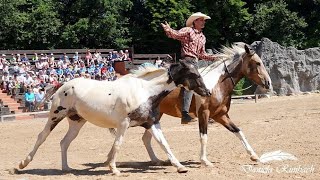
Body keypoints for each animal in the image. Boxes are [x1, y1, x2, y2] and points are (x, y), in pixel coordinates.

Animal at [18, 60, 211, 174]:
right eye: (194, 74)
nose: (207, 92)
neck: (145, 92)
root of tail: (62, 85)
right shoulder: (123, 124)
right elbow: (118, 144)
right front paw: (113, 168)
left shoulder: (151, 123)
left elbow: (164, 144)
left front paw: (180, 166)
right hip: (55, 115)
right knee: (42, 137)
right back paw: (22, 164)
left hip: (77, 122)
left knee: (64, 142)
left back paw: (66, 168)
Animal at [141, 43, 272, 167]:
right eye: (258, 63)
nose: (268, 83)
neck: (217, 85)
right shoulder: (204, 113)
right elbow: (203, 137)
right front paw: (205, 160)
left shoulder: (220, 115)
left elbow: (238, 131)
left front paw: (254, 156)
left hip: (156, 116)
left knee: (146, 138)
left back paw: (156, 160)